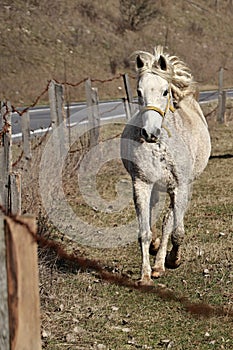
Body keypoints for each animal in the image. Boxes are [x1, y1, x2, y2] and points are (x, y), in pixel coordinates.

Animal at [121, 46, 210, 286]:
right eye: (139, 92)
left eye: (164, 92)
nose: (149, 133)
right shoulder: (141, 183)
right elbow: (144, 231)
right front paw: (145, 276)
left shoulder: (179, 187)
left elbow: (176, 230)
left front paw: (173, 260)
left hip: (179, 188)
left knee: (169, 222)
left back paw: (161, 265)